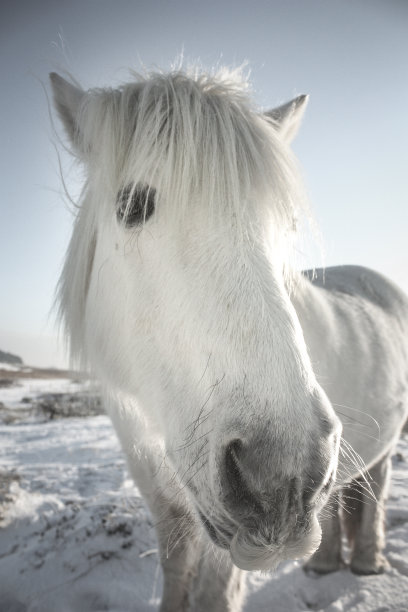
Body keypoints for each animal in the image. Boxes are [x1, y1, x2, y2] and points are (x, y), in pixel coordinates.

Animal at [50, 67, 408, 612]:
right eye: (130, 206)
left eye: (285, 225)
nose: (281, 478)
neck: (155, 418)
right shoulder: (163, 500)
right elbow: (177, 573)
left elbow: (214, 593)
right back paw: (323, 567)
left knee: (378, 491)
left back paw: (367, 564)